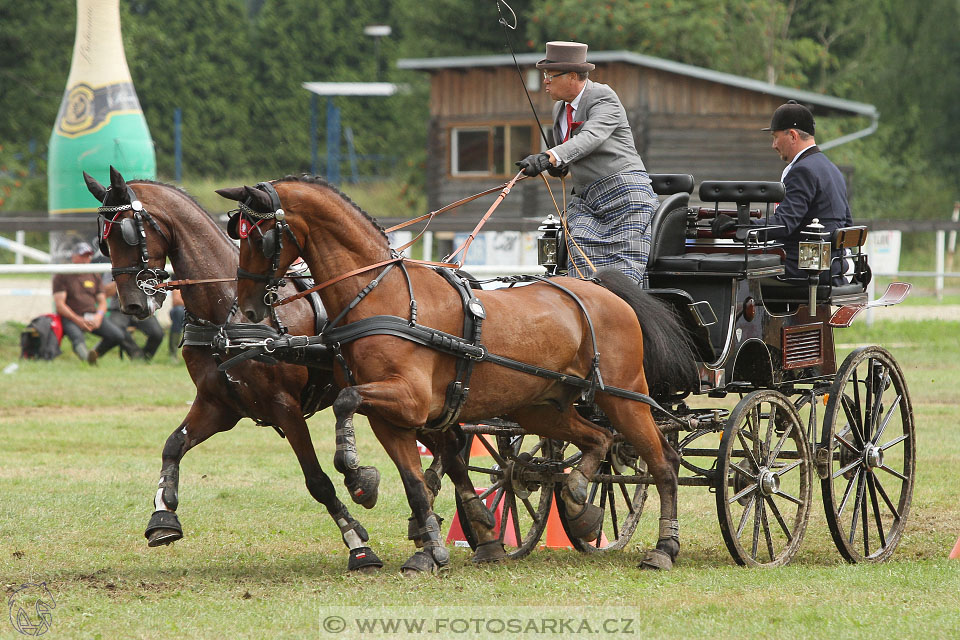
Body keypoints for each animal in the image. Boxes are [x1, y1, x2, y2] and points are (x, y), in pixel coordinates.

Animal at [81, 168, 382, 572]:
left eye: (128, 232)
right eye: (103, 240)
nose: (131, 305)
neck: (226, 313)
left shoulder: (284, 407)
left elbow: (317, 480)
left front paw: (357, 543)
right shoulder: (219, 405)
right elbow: (173, 446)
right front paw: (162, 516)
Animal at [219, 176, 696, 576]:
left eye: (258, 236)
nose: (249, 309)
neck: (381, 296)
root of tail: (604, 288)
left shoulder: (408, 399)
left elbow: (346, 401)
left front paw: (359, 478)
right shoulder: (392, 418)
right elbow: (414, 482)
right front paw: (428, 548)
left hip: (625, 397)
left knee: (662, 464)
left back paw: (663, 548)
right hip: (541, 408)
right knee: (598, 440)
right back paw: (580, 499)